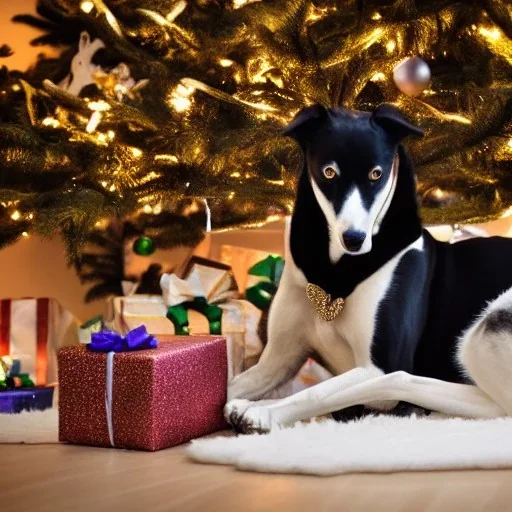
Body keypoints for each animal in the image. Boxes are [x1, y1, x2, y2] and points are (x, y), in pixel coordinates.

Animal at [226, 102, 512, 434]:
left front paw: (262, 412)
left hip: (487, 326)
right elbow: (229, 384)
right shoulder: (276, 361)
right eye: (328, 172)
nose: (354, 239)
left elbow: (320, 390)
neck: (334, 271)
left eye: (377, 174)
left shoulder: (379, 364)